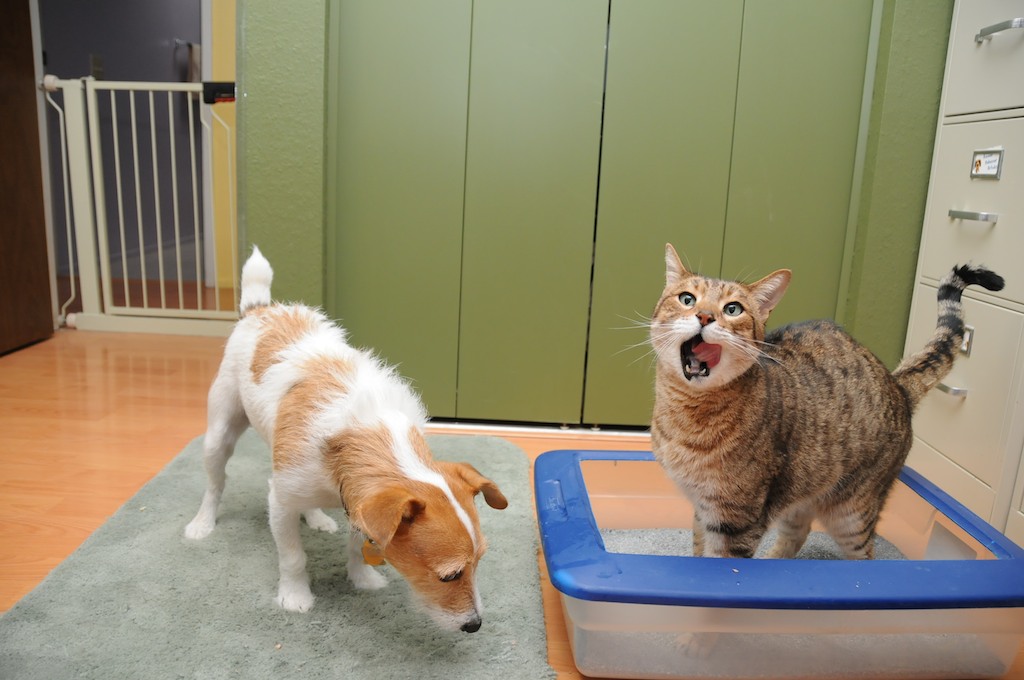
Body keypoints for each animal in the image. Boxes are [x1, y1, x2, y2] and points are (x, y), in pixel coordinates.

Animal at [185, 246, 512, 634]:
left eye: (480, 562)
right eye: (450, 575)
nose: (474, 625)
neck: (361, 435)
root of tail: (260, 308)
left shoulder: (356, 503)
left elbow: (357, 548)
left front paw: (361, 579)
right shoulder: (280, 502)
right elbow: (293, 557)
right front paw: (295, 596)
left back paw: (316, 518)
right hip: (219, 435)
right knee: (215, 484)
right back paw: (202, 523)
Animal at [651, 242, 1003, 557]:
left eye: (732, 309)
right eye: (687, 299)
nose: (704, 316)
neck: (687, 413)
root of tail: (898, 384)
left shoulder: (737, 519)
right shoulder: (702, 509)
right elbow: (700, 553)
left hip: (853, 514)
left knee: (865, 557)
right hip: (803, 489)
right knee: (798, 533)